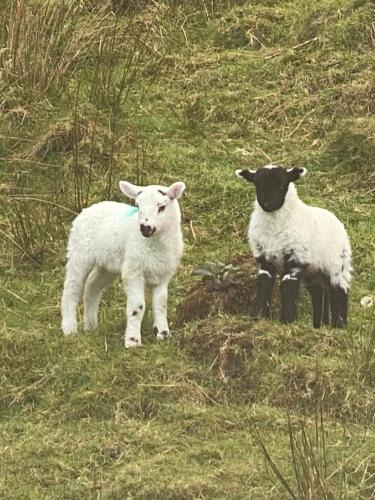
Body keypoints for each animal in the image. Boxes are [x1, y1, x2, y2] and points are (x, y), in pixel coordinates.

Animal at [61, 180, 187, 348]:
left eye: (162, 207)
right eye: (138, 206)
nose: (145, 228)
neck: (156, 244)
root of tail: (88, 209)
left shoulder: (163, 274)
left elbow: (161, 304)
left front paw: (163, 334)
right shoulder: (133, 270)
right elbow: (137, 306)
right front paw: (133, 341)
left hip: (108, 264)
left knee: (92, 286)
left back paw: (91, 326)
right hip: (80, 252)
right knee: (71, 288)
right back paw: (69, 328)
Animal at [235, 164, 352, 328]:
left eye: (282, 185)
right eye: (257, 184)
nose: (267, 204)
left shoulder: (295, 259)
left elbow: (287, 287)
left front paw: (288, 320)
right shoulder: (264, 259)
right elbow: (265, 284)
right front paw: (258, 316)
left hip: (338, 264)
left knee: (340, 291)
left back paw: (339, 325)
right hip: (313, 271)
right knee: (319, 293)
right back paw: (318, 325)